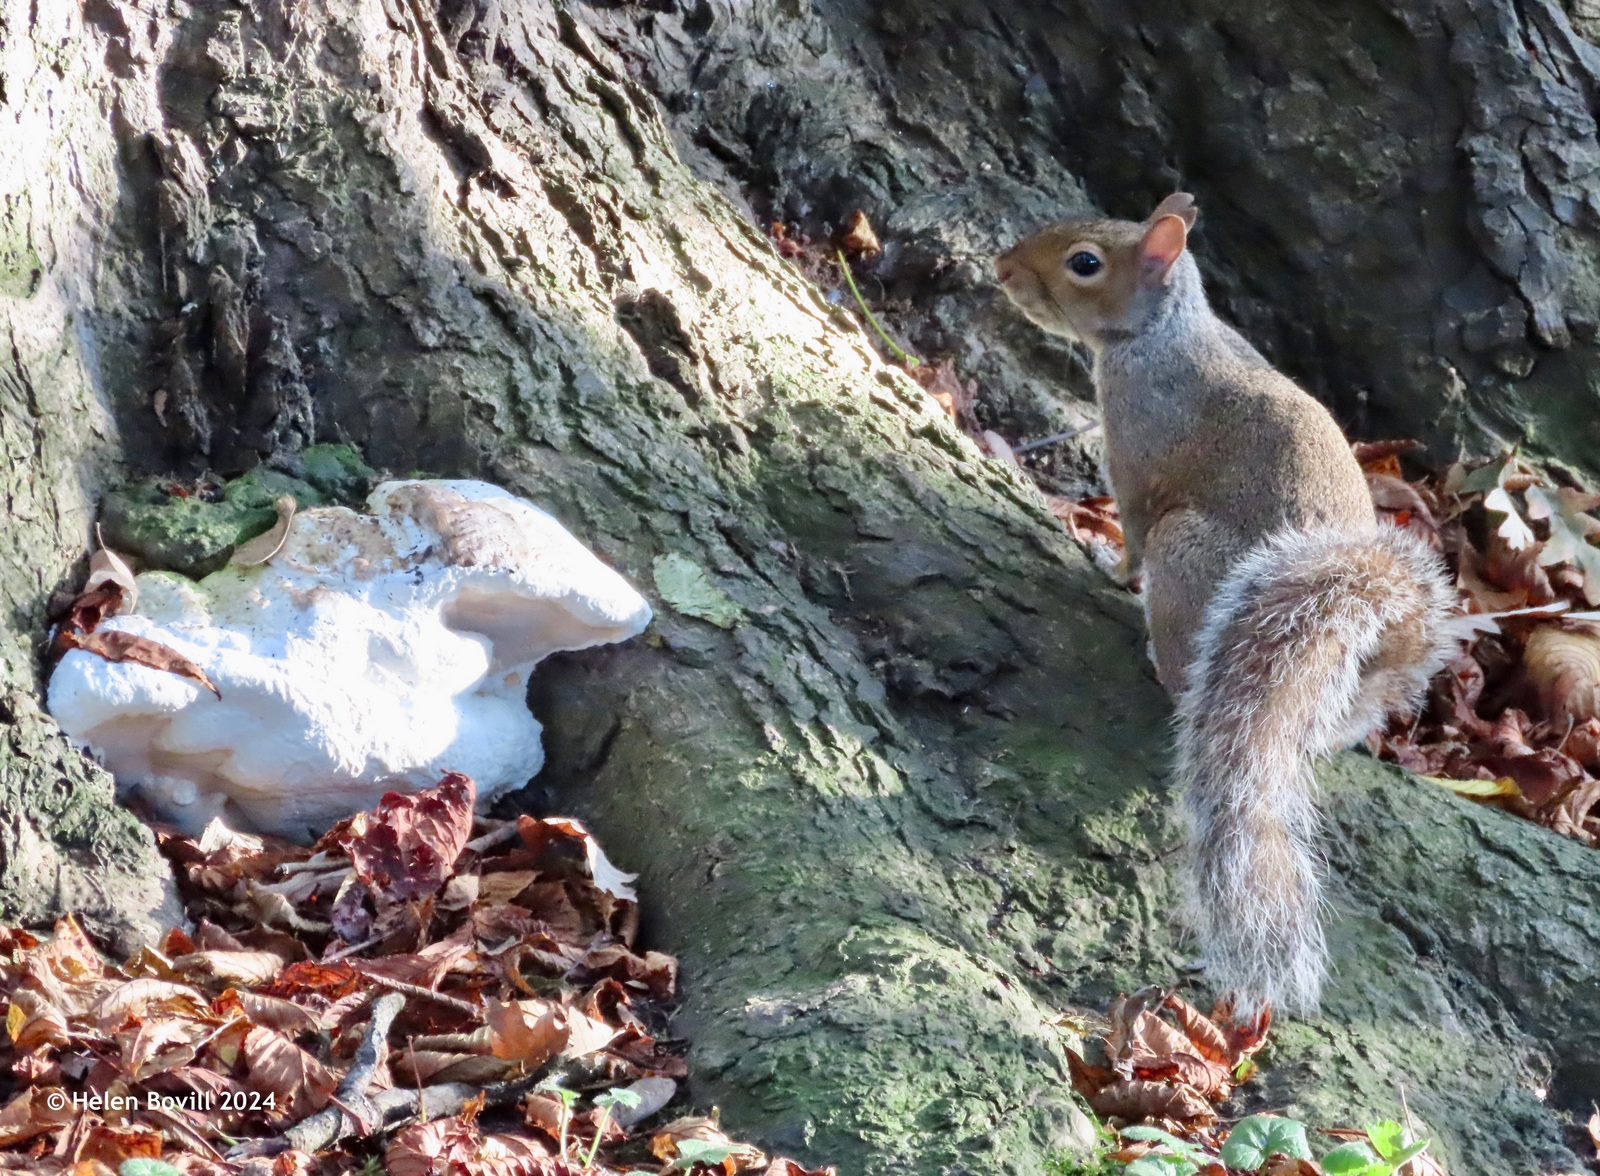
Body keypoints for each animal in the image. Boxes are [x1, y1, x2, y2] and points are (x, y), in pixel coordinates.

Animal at [998, 193, 1465, 1011]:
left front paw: (1101, 560)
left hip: (1188, 554)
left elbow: (1130, 533)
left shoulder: (1137, 462)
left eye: (1085, 262)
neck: (1163, 336)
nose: (1001, 268)